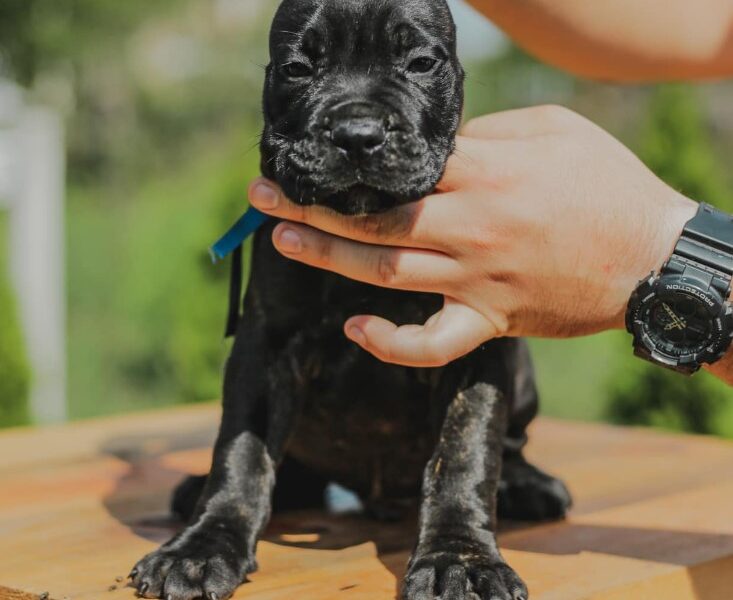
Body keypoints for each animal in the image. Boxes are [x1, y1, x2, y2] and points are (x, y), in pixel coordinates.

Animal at [129, 1, 568, 600]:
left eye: (421, 62)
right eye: (297, 68)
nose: (357, 134)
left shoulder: (475, 348)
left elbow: (465, 456)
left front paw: (461, 559)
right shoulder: (267, 345)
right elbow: (241, 451)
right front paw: (202, 547)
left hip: (522, 375)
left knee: (512, 445)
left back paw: (528, 486)